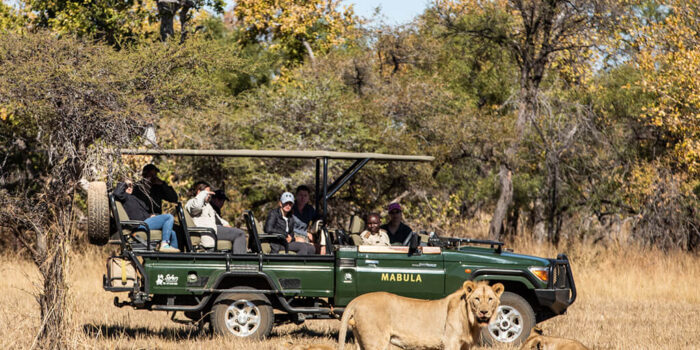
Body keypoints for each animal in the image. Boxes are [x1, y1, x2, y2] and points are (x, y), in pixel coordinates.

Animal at [338, 282, 504, 350]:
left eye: (490, 299)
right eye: (477, 299)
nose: (484, 312)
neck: (471, 322)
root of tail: (356, 300)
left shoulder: (466, 345)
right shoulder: (450, 343)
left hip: (360, 340)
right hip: (376, 342)